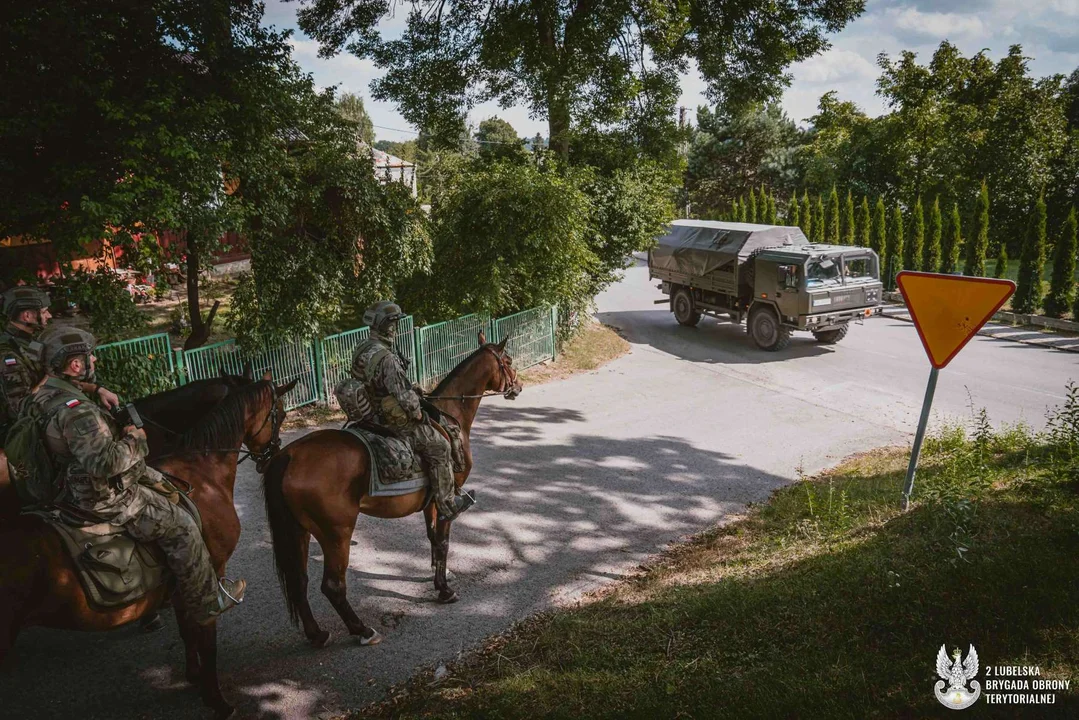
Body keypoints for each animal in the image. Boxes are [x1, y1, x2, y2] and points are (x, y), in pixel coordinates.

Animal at [0, 375, 295, 716]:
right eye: (281, 414)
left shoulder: (181, 579)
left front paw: (194, 676)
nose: (273, 454)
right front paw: (217, 700)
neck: (201, 469)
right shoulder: (209, 573)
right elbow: (206, 636)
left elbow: (186, 631)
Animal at [261, 334, 522, 647]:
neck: (450, 415)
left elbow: (433, 538)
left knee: (299, 580)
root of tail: (288, 455)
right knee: (333, 585)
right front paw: (444, 590)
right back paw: (362, 630)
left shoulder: (430, 502)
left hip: (298, 530)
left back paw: (317, 634)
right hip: (336, 533)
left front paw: (438, 576)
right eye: (507, 361)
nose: (518, 385)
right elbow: (443, 542)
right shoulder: (446, 498)